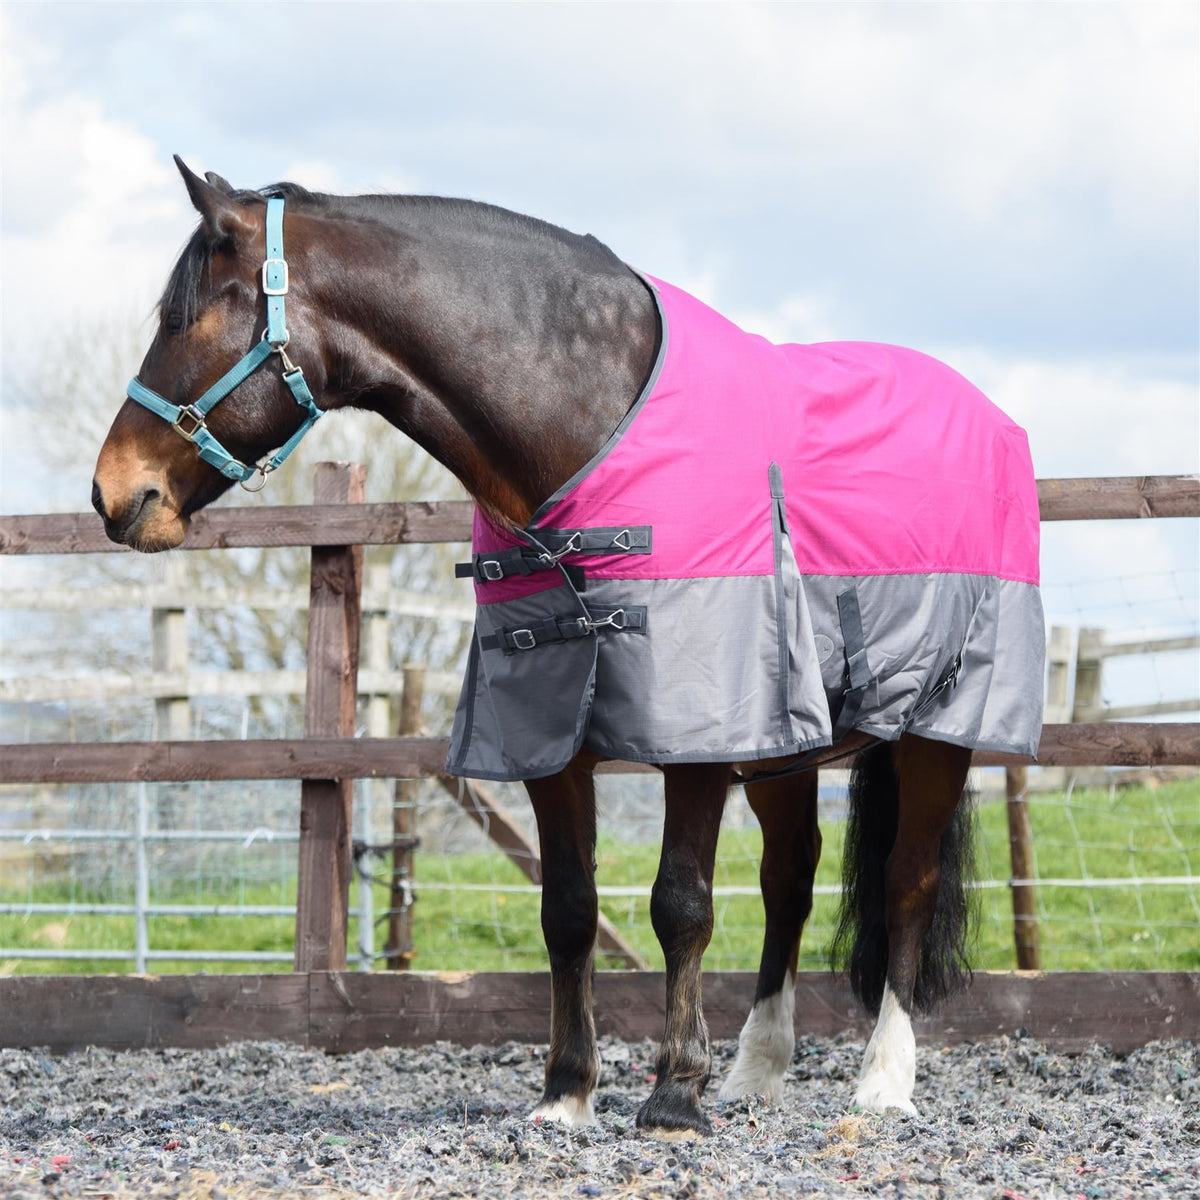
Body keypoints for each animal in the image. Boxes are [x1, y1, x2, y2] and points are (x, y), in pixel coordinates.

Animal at [93, 158, 1044, 1137]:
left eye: (187, 317)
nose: (116, 492)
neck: (582, 421)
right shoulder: (548, 731)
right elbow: (569, 910)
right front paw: (567, 1091)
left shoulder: (696, 736)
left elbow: (681, 903)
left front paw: (674, 1092)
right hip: (785, 746)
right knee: (791, 876)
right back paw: (757, 1072)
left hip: (936, 728)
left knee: (906, 881)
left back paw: (883, 1080)